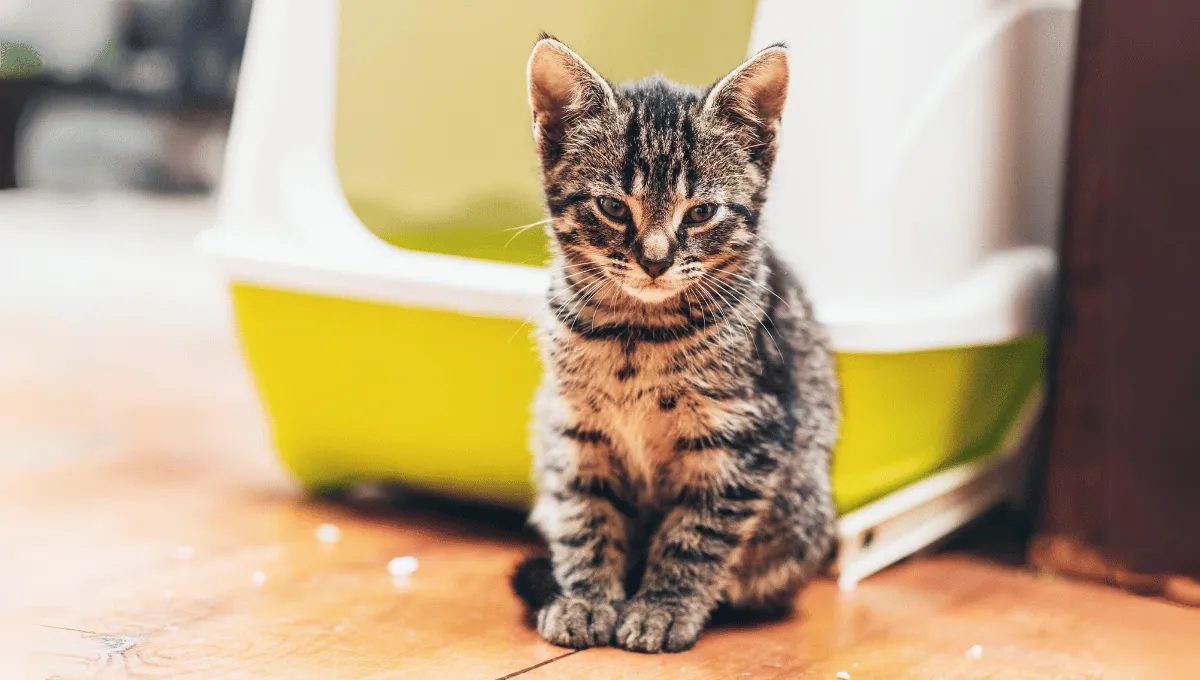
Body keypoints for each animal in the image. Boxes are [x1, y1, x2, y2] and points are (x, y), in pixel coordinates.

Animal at [511, 37, 840, 652]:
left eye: (702, 212)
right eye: (614, 207)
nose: (656, 260)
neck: (635, 333)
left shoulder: (742, 436)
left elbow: (696, 533)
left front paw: (662, 608)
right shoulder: (574, 428)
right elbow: (585, 517)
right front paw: (586, 599)